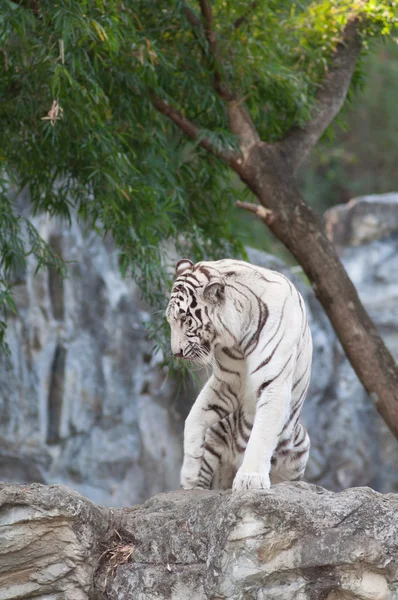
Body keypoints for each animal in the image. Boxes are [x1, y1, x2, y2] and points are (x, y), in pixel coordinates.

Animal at [166, 255, 312, 490]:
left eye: (185, 320)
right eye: (170, 320)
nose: (176, 352)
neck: (237, 339)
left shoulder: (273, 383)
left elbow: (262, 433)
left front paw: (250, 479)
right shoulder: (228, 383)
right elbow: (194, 416)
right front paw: (189, 475)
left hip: (300, 447)